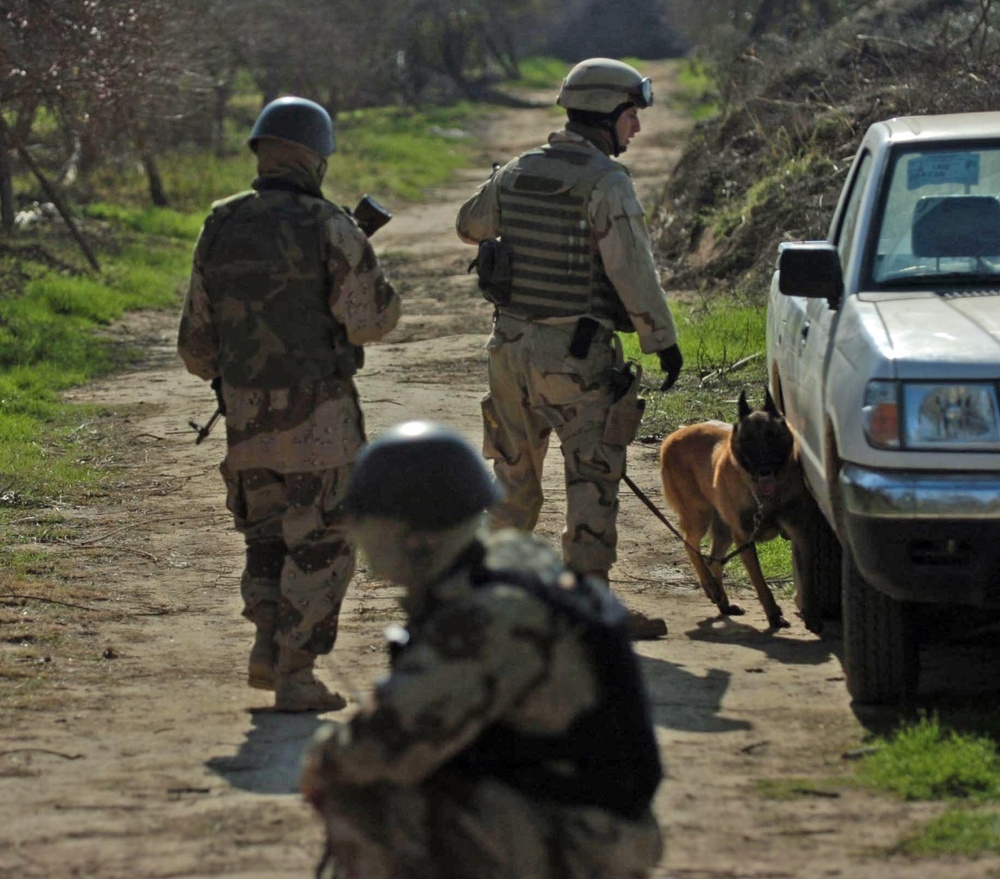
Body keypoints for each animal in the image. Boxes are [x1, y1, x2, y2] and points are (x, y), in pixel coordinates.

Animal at [656, 392, 820, 632]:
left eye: (771, 435)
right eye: (747, 439)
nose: (763, 469)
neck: (766, 498)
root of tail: (672, 436)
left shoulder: (801, 536)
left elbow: (807, 580)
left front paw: (812, 616)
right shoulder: (744, 540)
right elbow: (760, 583)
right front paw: (773, 616)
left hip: (723, 530)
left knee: (714, 561)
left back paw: (723, 601)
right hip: (699, 516)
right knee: (690, 545)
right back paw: (710, 586)